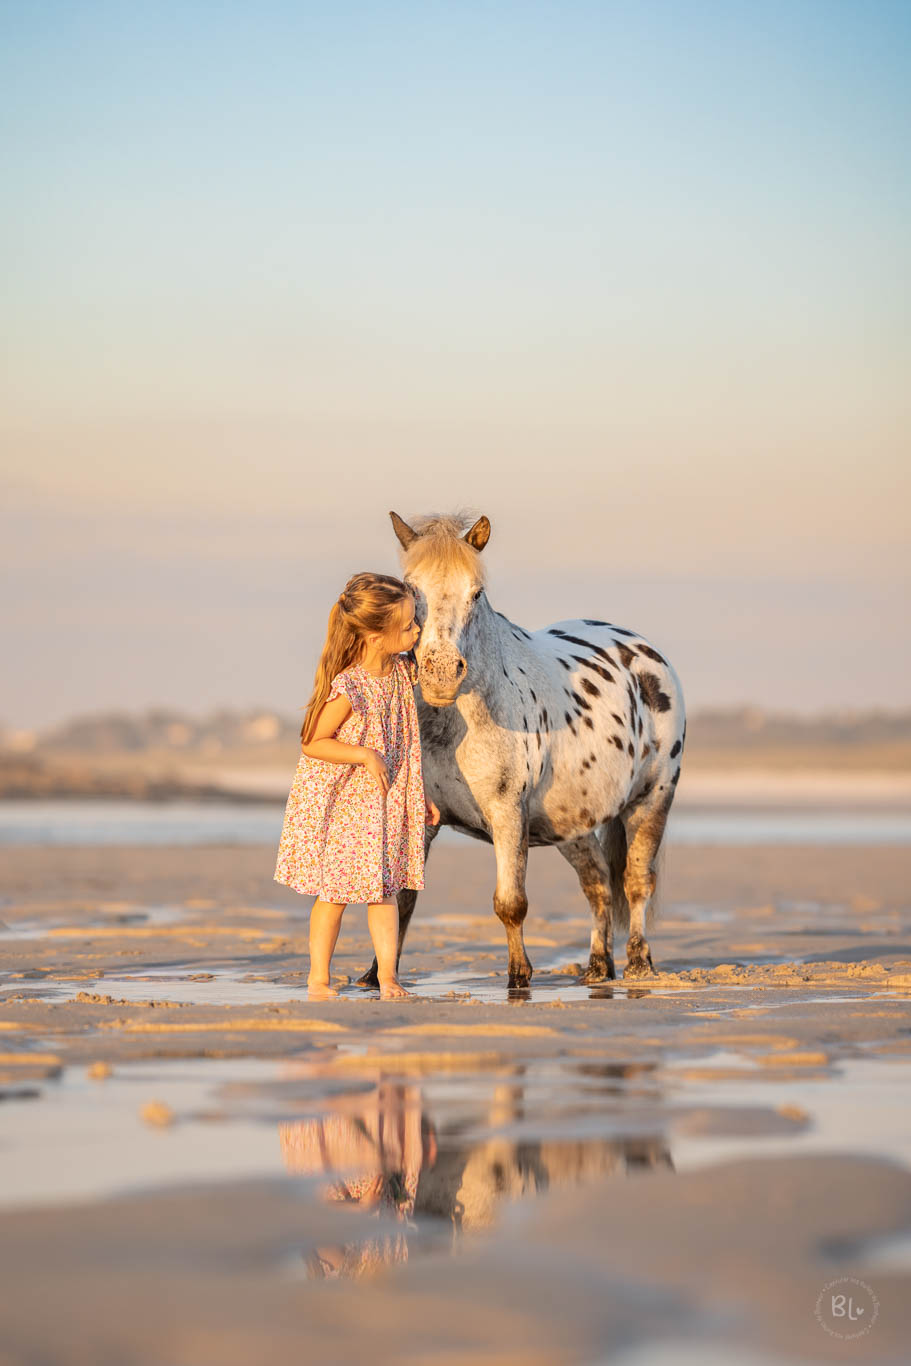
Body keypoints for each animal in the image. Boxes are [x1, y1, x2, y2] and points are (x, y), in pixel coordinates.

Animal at [360, 510, 686, 990]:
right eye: (410, 586)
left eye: (476, 592)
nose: (441, 673)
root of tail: (646, 653)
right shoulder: (422, 818)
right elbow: (402, 901)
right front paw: (375, 975)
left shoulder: (508, 813)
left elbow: (510, 903)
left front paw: (519, 975)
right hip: (571, 822)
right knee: (597, 883)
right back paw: (597, 966)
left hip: (651, 799)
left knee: (636, 881)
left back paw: (640, 964)